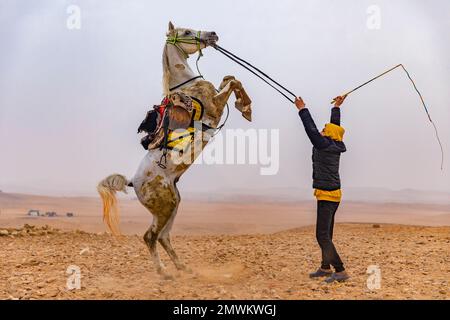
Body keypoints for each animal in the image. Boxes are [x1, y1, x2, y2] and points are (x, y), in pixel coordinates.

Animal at [98, 21, 251, 278]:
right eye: (186, 32)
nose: (213, 34)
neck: (188, 85)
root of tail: (132, 181)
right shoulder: (216, 106)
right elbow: (232, 82)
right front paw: (246, 107)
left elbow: (229, 78)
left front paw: (245, 105)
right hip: (165, 207)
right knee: (150, 237)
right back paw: (164, 273)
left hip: (173, 204)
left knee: (163, 237)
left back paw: (183, 268)